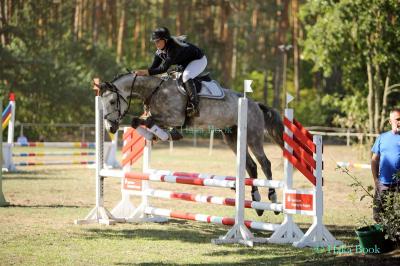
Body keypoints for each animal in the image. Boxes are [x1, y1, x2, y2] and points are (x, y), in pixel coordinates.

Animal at [97, 72, 284, 216]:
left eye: (112, 102)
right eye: (102, 104)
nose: (110, 127)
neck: (155, 91)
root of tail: (255, 104)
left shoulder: (174, 118)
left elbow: (149, 121)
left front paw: (165, 135)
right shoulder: (161, 118)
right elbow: (138, 121)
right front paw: (156, 136)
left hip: (252, 137)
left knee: (264, 163)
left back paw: (273, 201)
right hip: (231, 137)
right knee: (251, 165)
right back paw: (257, 203)